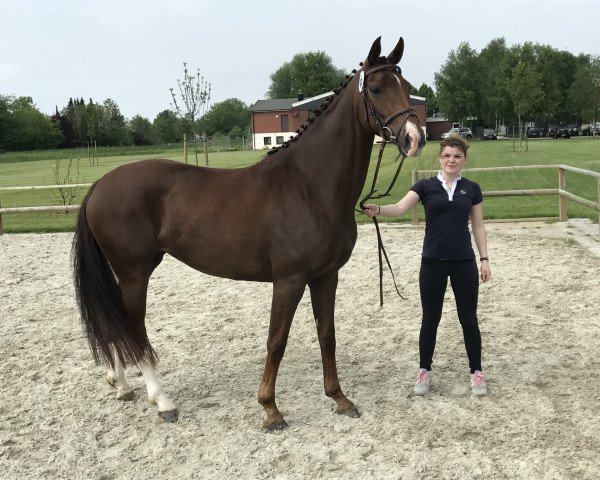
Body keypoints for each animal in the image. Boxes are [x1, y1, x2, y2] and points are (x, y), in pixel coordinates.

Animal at [72, 35, 424, 430]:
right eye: (377, 88)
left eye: (407, 86)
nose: (415, 137)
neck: (309, 185)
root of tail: (100, 184)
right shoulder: (289, 280)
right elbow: (277, 341)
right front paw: (270, 408)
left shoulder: (325, 276)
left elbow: (327, 335)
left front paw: (339, 398)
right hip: (135, 273)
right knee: (133, 327)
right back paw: (162, 401)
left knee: (117, 321)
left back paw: (121, 385)